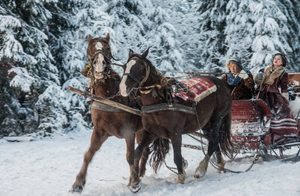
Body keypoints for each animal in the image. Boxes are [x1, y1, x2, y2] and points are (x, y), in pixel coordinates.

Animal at [70, 34, 155, 192]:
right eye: (90, 49)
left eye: (107, 49)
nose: (99, 64)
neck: (109, 99)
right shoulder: (100, 131)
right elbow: (88, 154)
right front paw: (78, 183)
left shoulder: (128, 131)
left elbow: (130, 156)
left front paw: (134, 183)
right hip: (141, 131)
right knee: (144, 150)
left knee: (143, 151)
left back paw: (137, 175)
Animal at [118, 48, 233, 191]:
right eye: (125, 66)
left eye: (139, 68)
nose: (123, 88)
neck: (162, 100)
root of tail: (222, 84)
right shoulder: (151, 133)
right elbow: (137, 153)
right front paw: (134, 182)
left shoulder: (176, 133)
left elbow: (177, 157)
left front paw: (181, 177)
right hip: (206, 123)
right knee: (214, 141)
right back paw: (220, 164)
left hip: (217, 118)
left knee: (213, 142)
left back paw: (201, 169)